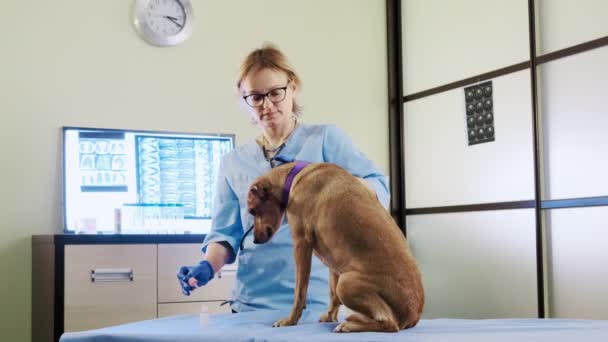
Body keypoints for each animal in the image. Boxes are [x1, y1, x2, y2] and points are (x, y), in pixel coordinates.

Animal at [247, 162, 422, 332]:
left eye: (252, 211)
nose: (254, 240)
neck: (296, 176)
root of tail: (413, 316)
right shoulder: (332, 260)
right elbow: (332, 296)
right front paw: (330, 317)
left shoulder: (301, 244)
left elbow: (299, 293)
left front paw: (290, 321)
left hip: (346, 283)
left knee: (390, 324)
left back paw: (348, 326)